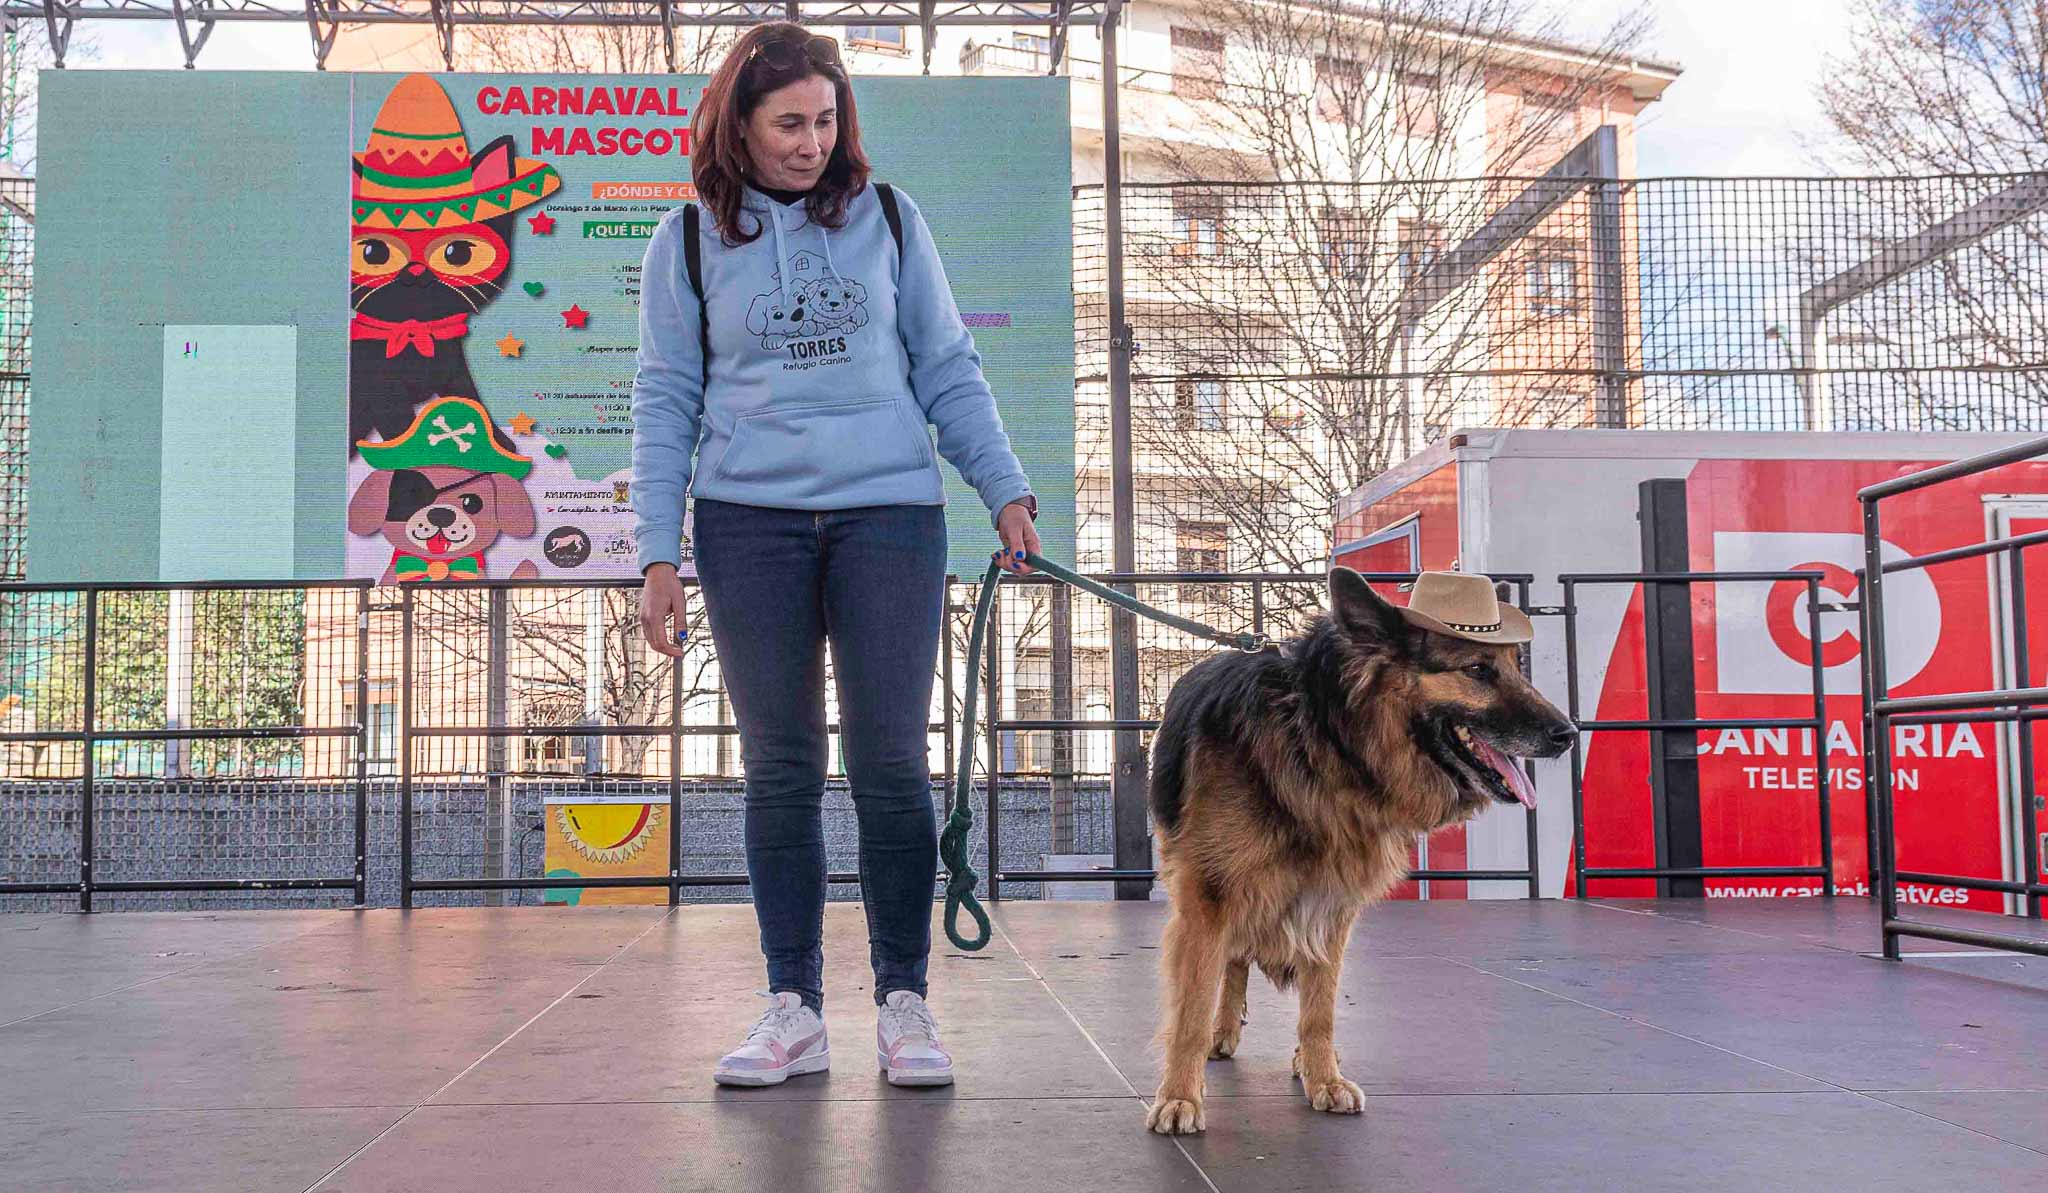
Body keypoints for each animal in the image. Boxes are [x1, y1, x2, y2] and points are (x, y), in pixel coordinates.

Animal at [1155, 568, 1564, 1129]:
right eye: (1478, 670)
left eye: (1515, 668)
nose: (1569, 734)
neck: (1321, 736)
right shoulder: (1209, 898)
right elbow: (1192, 1005)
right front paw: (1180, 1095)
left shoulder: (1330, 903)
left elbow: (1320, 1007)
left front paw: (1322, 1076)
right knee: (1231, 963)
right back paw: (1222, 1033)